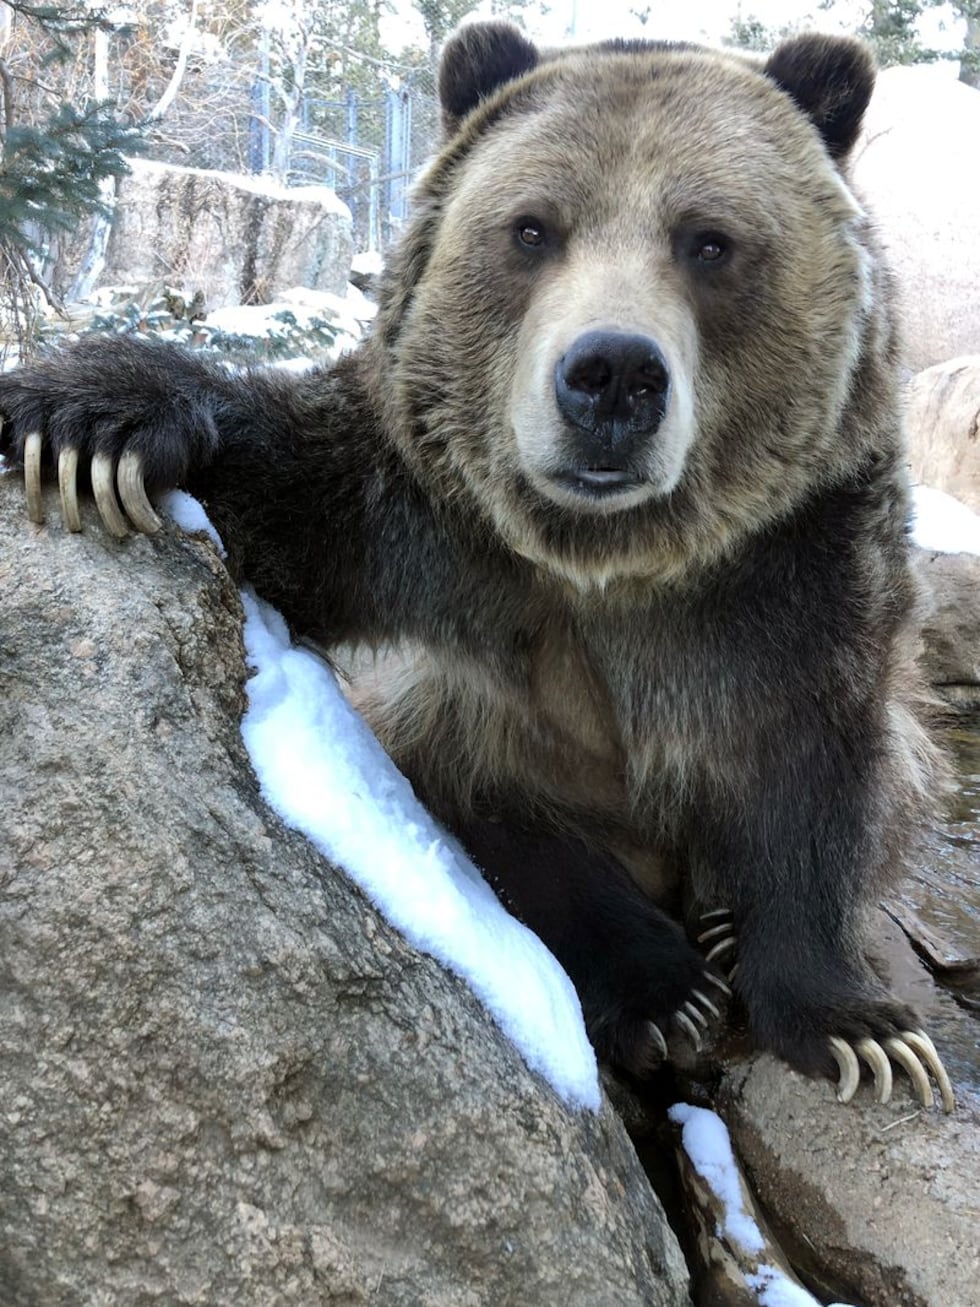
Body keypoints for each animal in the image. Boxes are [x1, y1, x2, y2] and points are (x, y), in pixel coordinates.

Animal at [0, 21, 955, 1109]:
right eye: (532, 229)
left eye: (709, 240)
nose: (611, 375)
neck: (605, 555)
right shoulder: (417, 530)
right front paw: (86, 417)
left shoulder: (793, 561)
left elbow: (816, 768)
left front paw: (861, 1029)